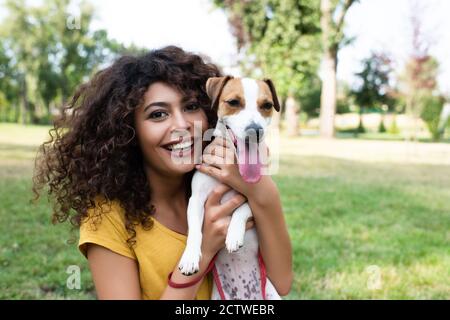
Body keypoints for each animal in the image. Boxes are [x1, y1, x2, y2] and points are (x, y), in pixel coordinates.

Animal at [178, 75, 280, 300]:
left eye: (267, 105)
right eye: (233, 102)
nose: (255, 130)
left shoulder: (257, 199)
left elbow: (241, 209)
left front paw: (233, 235)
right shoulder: (196, 199)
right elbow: (195, 230)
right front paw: (190, 257)